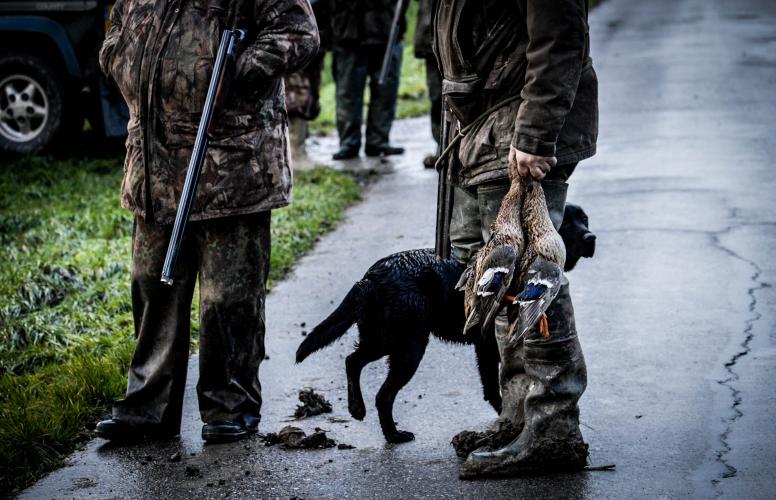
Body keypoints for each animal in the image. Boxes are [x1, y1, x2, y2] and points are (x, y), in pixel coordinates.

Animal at [296, 203, 596, 442]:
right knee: (383, 394)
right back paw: (393, 435)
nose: (591, 237)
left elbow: (494, 385)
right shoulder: (488, 345)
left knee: (352, 361)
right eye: (565, 223)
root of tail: (371, 276)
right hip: (409, 346)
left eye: (585, 219)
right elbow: (496, 386)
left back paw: (357, 409)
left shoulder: (485, 346)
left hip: (383, 339)